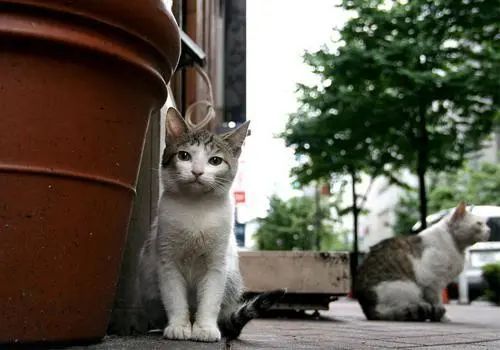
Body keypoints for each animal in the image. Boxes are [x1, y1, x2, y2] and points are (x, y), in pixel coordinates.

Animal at [138, 107, 286, 342]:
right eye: (184, 156)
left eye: (215, 161)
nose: (197, 171)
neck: (197, 207)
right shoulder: (167, 260)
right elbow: (174, 297)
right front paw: (179, 326)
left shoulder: (217, 263)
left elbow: (210, 299)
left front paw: (205, 328)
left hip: (232, 279)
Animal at [358, 202, 490, 322]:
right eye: (479, 223)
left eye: (485, 223)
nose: (489, 230)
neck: (457, 246)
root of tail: (368, 309)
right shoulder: (432, 282)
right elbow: (437, 302)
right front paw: (442, 317)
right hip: (409, 287)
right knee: (389, 310)